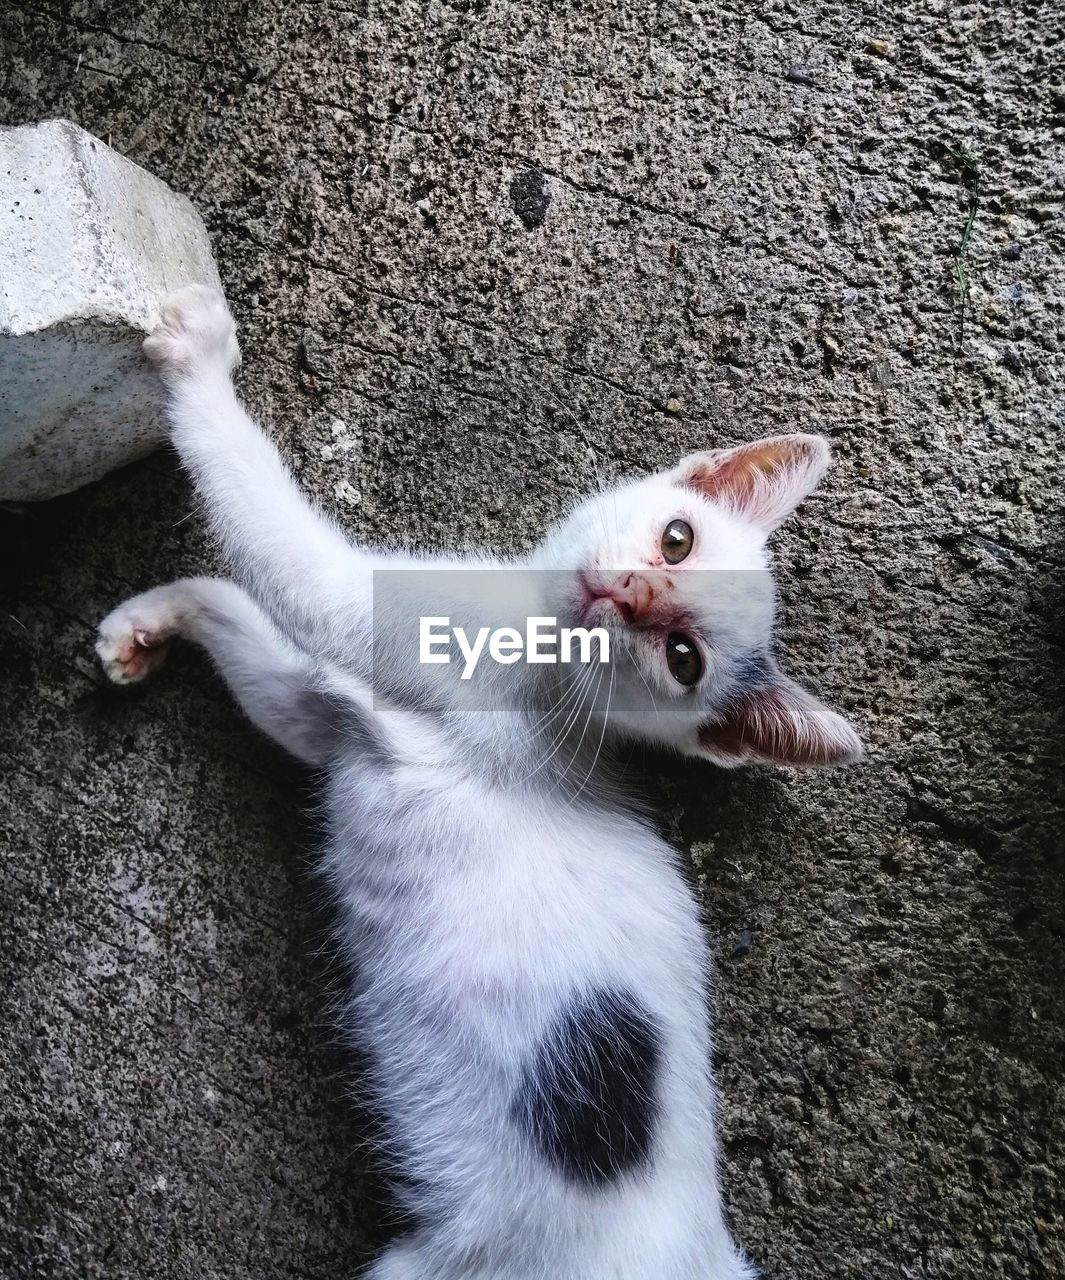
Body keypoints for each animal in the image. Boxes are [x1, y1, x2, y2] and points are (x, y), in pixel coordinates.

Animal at [96, 290, 860, 1280]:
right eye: (677, 537)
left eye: (681, 657)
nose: (628, 591)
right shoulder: (331, 722)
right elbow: (248, 639)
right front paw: (151, 624)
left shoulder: (364, 615)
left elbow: (263, 516)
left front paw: (199, 359)